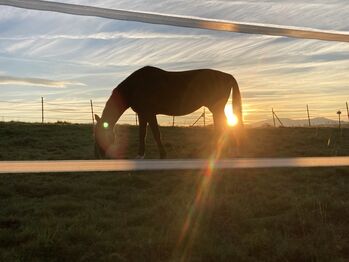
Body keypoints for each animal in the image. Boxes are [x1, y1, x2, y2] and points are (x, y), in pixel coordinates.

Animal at [94, 66, 242, 159]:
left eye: (100, 134)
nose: (98, 155)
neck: (135, 86)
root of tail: (227, 76)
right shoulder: (143, 114)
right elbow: (143, 134)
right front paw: (142, 155)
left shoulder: (148, 113)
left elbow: (155, 134)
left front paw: (160, 155)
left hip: (217, 109)